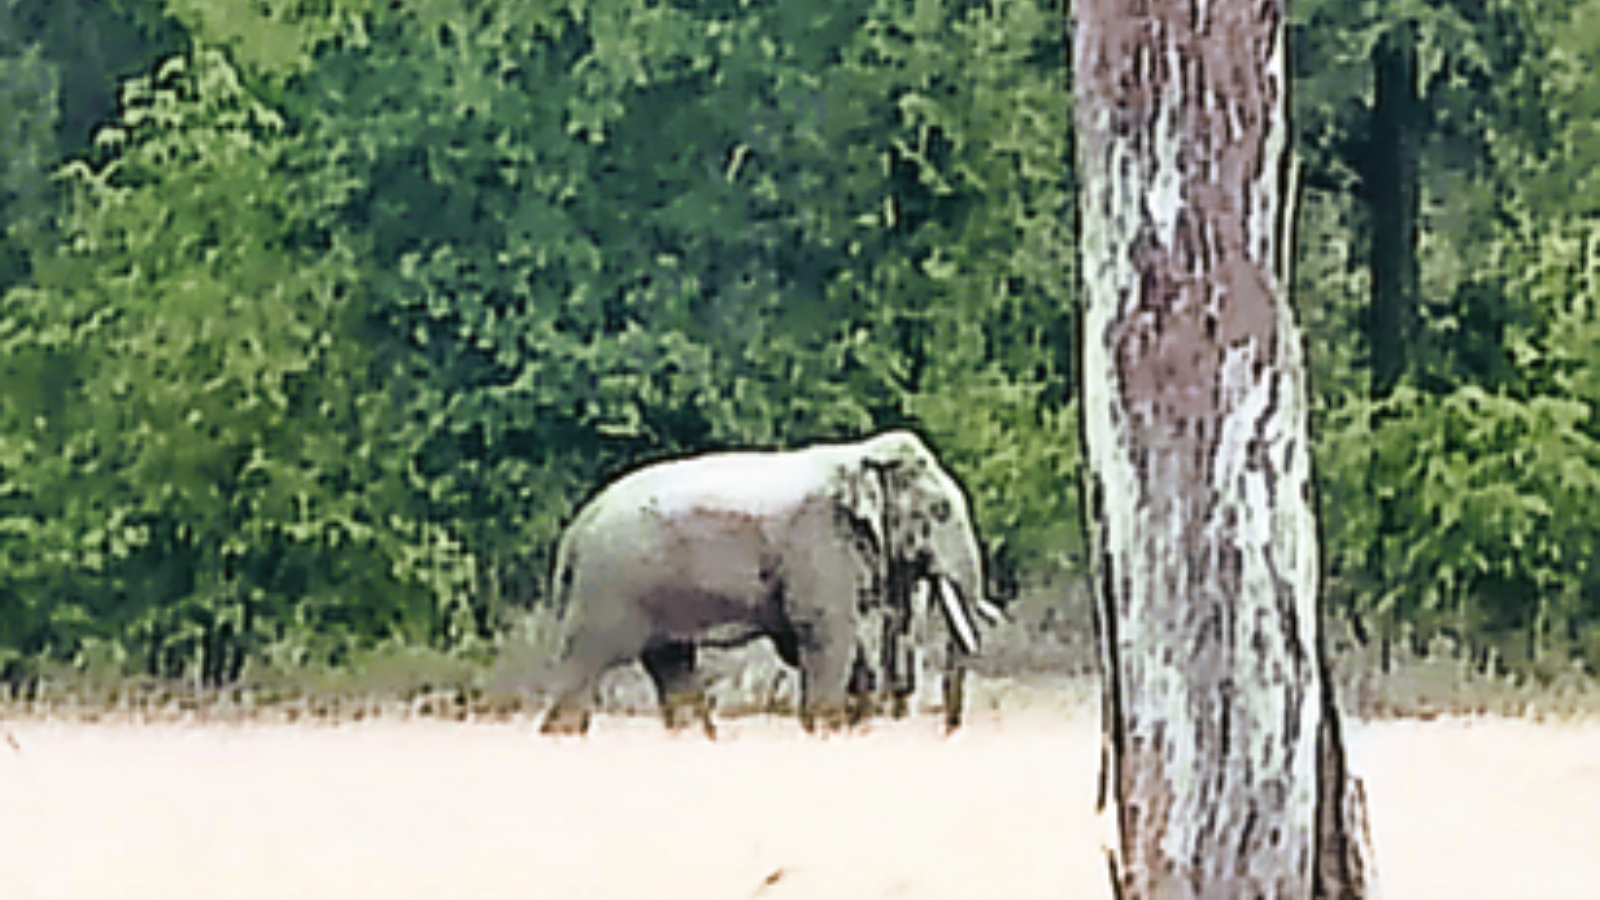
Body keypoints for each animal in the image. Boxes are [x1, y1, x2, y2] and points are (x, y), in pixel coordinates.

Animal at [536, 429, 994, 737]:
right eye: (940, 511)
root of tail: (574, 531)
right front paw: (827, 727)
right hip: (610, 588)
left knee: (673, 666)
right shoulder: (818, 543)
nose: (947, 730)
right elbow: (827, 635)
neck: (858, 454)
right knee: (586, 665)